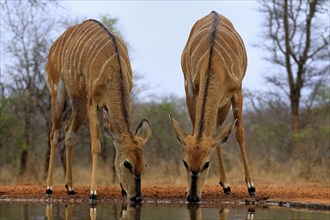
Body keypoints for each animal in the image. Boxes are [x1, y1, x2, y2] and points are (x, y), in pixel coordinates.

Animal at [45, 19, 151, 202]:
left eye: (143, 164)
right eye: (127, 163)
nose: (137, 197)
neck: (113, 66)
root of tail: (55, 44)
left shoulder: (106, 106)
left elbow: (114, 142)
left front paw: (122, 190)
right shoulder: (94, 104)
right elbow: (96, 146)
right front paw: (93, 192)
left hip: (80, 102)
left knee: (69, 133)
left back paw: (70, 187)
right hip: (58, 93)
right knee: (55, 134)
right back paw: (49, 187)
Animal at [170, 11, 255, 202]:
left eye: (206, 164)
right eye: (185, 162)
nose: (193, 196)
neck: (213, 62)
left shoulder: (237, 90)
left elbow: (239, 132)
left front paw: (251, 186)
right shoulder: (191, 88)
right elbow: (197, 128)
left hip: (224, 103)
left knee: (220, 131)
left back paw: (229, 185)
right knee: (216, 131)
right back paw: (225, 184)